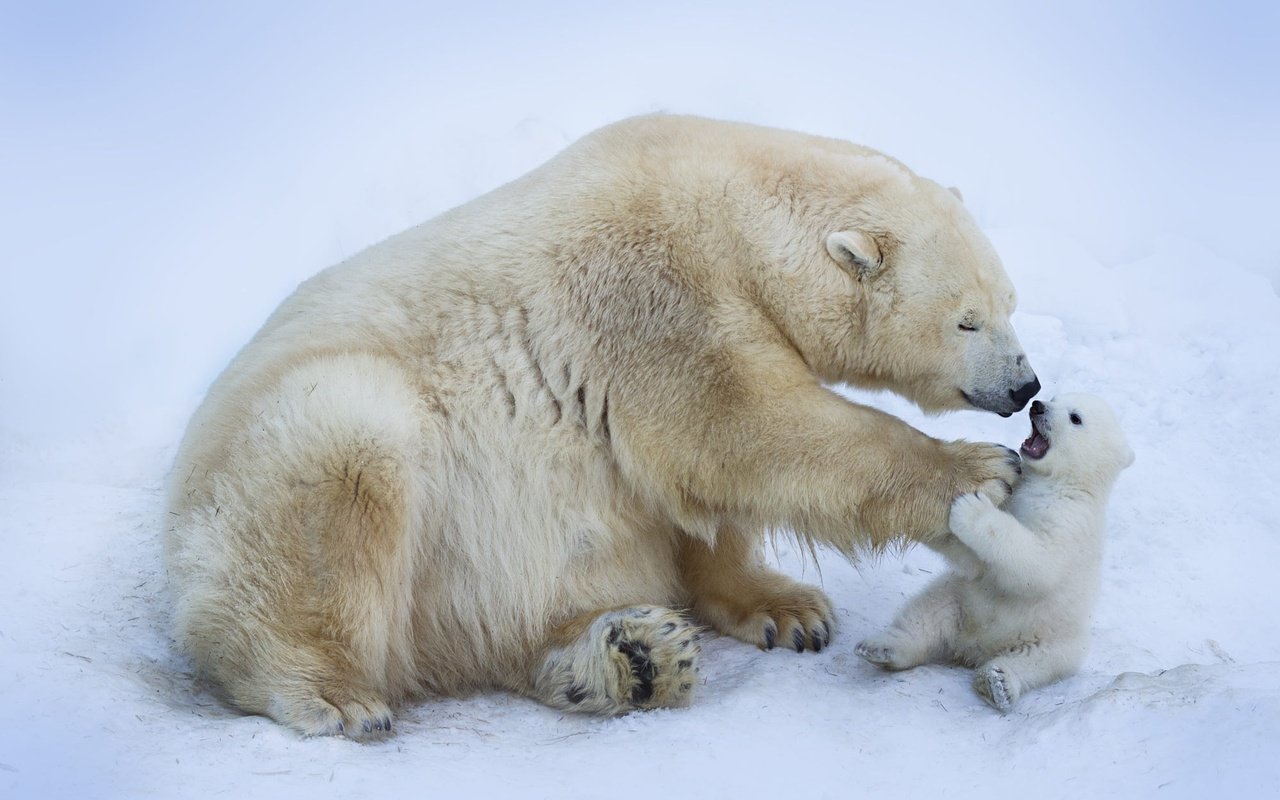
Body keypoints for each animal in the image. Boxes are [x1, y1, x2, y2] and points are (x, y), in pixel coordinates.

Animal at [165, 113, 1039, 737]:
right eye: (966, 320)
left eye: (1009, 303)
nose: (1025, 385)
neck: (727, 209)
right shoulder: (647, 289)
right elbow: (739, 427)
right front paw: (981, 473)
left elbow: (694, 494)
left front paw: (788, 611)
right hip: (291, 458)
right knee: (338, 468)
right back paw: (333, 691)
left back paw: (632, 659)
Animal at [855, 394, 1136, 711]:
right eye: (1055, 398)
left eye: (1075, 417)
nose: (1038, 405)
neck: (1061, 482)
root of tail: (975, 646)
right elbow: (977, 564)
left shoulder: (1070, 521)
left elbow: (1039, 564)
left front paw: (972, 507)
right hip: (958, 598)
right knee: (925, 616)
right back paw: (881, 648)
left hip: (1056, 637)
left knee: (1039, 661)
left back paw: (998, 683)